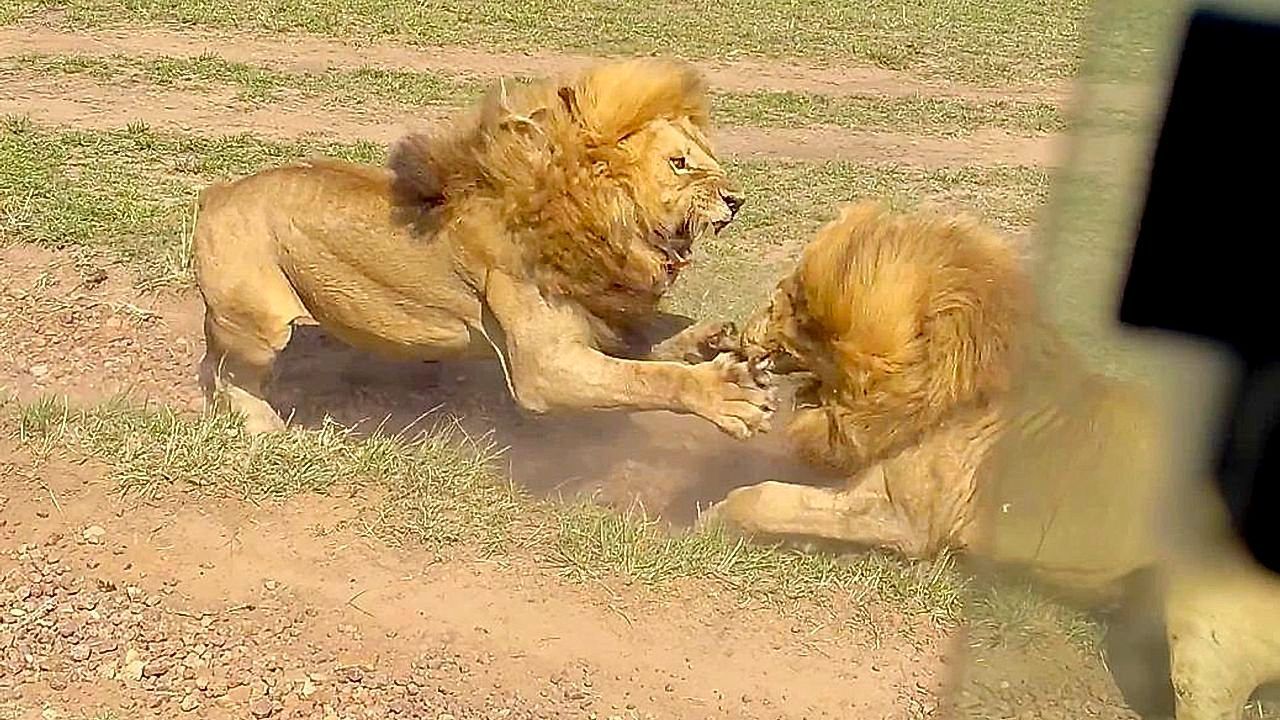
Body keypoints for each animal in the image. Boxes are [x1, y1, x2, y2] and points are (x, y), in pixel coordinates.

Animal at [192, 58, 774, 437]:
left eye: (707, 156)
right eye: (679, 163)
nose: (737, 199)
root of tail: (218, 191)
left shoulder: (601, 320)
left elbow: (653, 346)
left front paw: (709, 339)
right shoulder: (545, 369)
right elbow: (648, 377)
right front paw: (725, 394)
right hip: (258, 327)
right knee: (221, 368)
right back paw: (261, 423)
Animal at [704, 200, 1280, 720]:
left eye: (782, 301)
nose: (739, 332)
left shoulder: (901, 517)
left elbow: (767, 498)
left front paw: (713, 518)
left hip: (1202, 611)